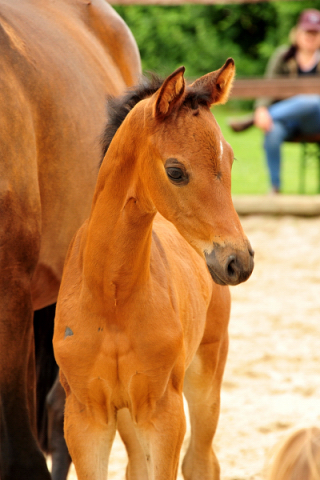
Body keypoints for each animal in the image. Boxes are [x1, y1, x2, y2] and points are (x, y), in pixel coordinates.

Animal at [54, 58, 255, 478]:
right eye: (175, 171)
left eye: (229, 160)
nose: (238, 261)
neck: (111, 297)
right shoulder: (85, 416)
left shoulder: (162, 410)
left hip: (206, 373)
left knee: (201, 460)